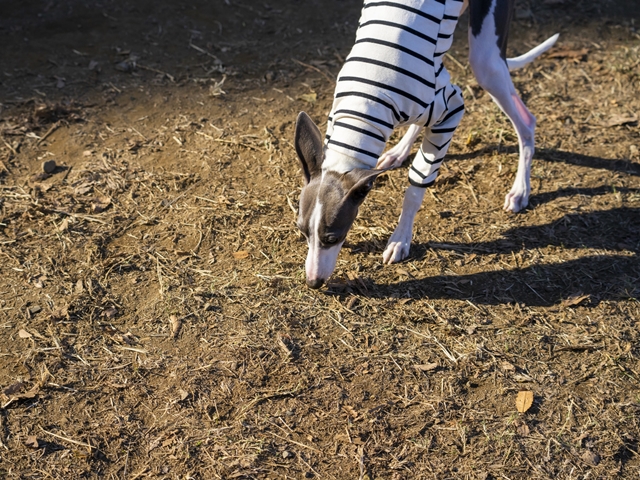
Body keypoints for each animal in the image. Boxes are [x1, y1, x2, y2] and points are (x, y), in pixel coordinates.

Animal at [292, 0, 556, 288]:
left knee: (526, 121)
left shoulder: (452, 111)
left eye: (333, 237)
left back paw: (520, 190)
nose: (313, 282)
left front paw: (400, 239)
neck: (361, 109)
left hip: (486, 62)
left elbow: (416, 188)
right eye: (302, 231)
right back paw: (398, 152)